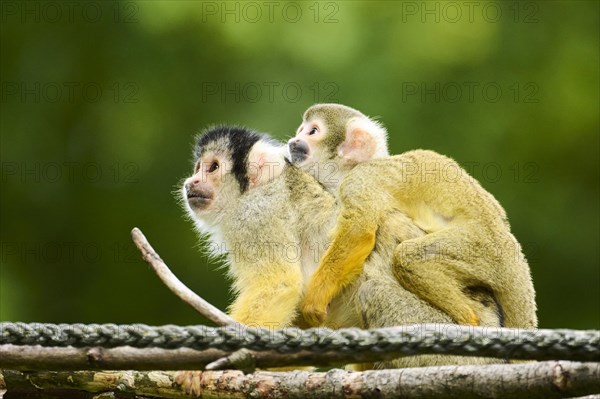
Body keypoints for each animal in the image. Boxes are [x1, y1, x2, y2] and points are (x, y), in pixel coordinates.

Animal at [288, 102, 536, 328]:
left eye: (312, 131)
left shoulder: (360, 180)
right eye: (300, 130)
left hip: (481, 247)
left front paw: (315, 300)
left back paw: (469, 319)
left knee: (406, 258)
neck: (352, 168)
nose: (293, 142)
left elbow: (358, 232)